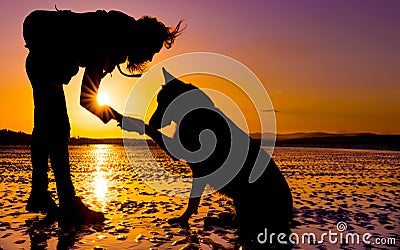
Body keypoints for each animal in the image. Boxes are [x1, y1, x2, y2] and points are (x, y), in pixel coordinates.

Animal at [126, 67, 292, 243]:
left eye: (164, 102)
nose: (152, 121)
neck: (193, 113)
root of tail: (287, 216)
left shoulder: (187, 160)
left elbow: (192, 201)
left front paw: (131, 121)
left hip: (245, 198)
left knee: (242, 222)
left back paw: (218, 220)